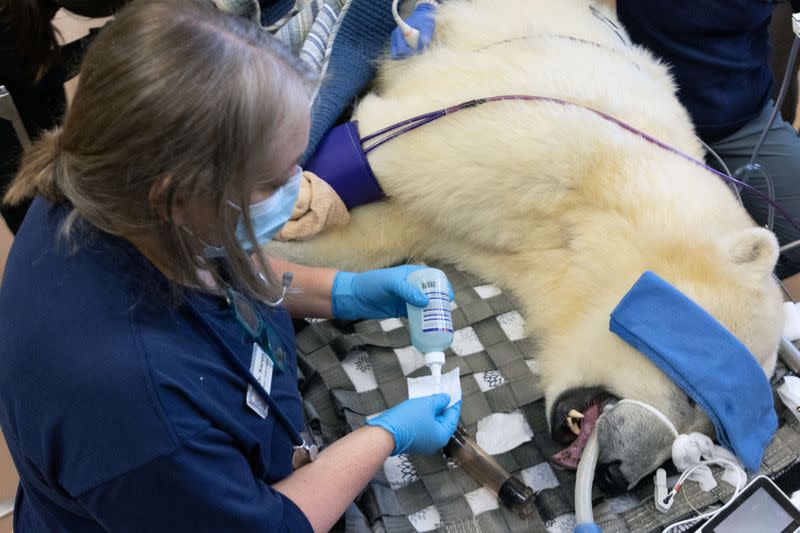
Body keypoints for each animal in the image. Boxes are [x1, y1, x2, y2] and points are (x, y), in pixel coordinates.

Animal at [272, 0, 784, 490]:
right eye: (691, 395)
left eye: (707, 439)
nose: (617, 474)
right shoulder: (541, 128)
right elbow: (393, 149)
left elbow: (384, 232)